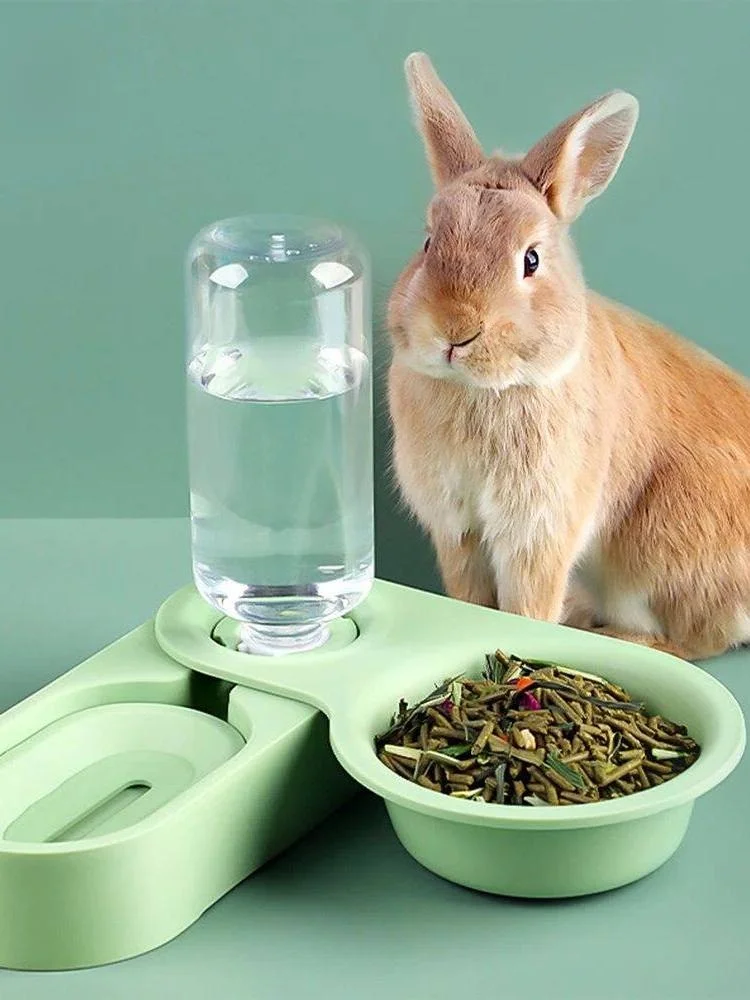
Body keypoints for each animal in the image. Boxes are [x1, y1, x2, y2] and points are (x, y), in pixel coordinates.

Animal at [387, 51, 750, 662]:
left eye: (531, 259)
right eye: (429, 242)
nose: (456, 330)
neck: (486, 389)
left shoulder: (538, 528)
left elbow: (526, 603)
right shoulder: (456, 526)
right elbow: (468, 596)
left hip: (666, 545)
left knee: (692, 639)